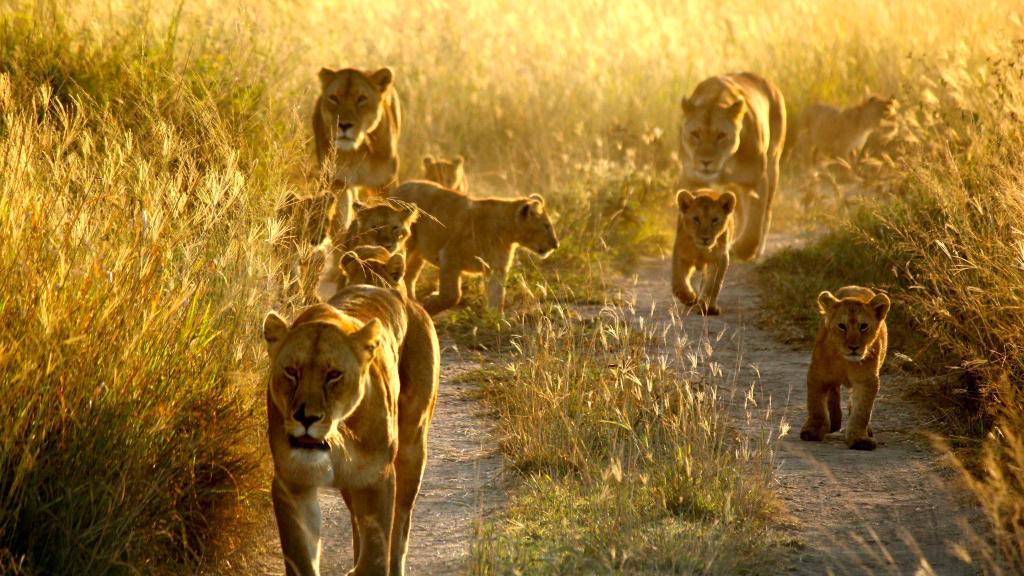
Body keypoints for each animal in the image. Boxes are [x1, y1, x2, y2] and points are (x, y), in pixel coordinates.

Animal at [262, 284, 439, 576]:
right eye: (291, 372)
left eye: (333, 375)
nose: (306, 418)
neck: (337, 436)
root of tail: (402, 297)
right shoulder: (293, 483)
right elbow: (300, 559)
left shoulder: (376, 478)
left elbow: (376, 554)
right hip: (350, 483)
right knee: (358, 522)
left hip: (412, 451)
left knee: (400, 526)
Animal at [390, 180, 559, 315]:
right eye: (546, 226)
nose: (556, 245)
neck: (507, 233)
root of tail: (399, 187)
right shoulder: (449, 255)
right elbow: (452, 295)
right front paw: (430, 305)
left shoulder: (496, 268)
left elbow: (497, 295)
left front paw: (496, 321)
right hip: (405, 245)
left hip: (418, 253)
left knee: (409, 276)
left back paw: (412, 302)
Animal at [678, 72, 786, 261]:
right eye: (695, 134)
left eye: (721, 136)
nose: (706, 162)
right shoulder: (691, 180)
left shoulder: (756, 180)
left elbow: (754, 226)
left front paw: (742, 250)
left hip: (773, 164)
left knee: (766, 213)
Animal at [800, 286, 891, 450]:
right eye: (842, 326)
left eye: (863, 326)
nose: (853, 347)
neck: (845, 361)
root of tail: (854, 287)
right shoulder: (817, 376)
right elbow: (816, 406)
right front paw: (812, 431)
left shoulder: (867, 381)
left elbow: (861, 411)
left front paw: (859, 438)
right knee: (833, 392)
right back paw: (834, 420)